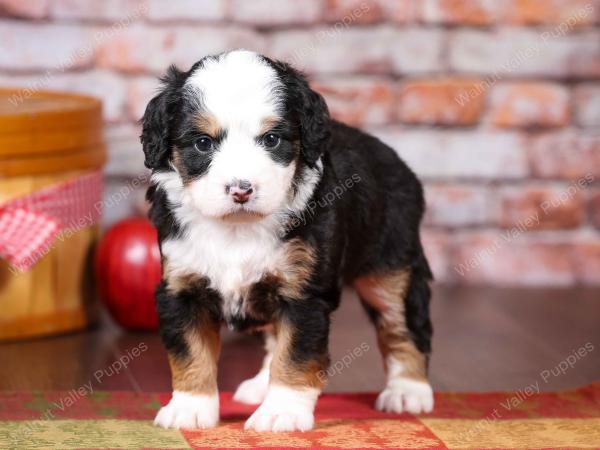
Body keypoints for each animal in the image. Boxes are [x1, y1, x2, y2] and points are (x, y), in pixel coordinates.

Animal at [143, 49, 434, 432]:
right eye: (203, 143)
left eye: (271, 139)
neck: (238, 228)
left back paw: (408, 392)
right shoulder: (182, 287)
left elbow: (295, 354)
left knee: (403, 326)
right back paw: (259, 386)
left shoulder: (304, 294)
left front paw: (282, 412)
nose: (241, 190)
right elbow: (191, 352)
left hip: (390, 268)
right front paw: (189, 408)